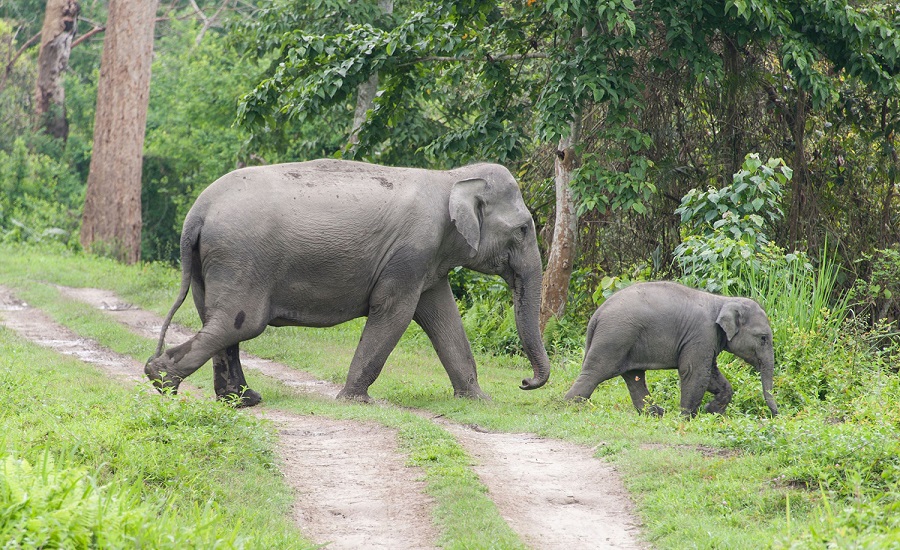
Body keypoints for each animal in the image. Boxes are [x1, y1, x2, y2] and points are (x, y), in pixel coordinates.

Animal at [145, 158, 552, 406]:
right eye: (523, 229)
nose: (524, 383)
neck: (451, 177)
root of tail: (197, 213)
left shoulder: (427, 261)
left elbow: (442, 317)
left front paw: (478, 401)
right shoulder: (410, 253)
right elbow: (395, 314)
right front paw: (357, 401)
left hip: (213, 264)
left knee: (217, 322)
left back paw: (243, 400)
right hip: (241, 258)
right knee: (235, 324)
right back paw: (161, 380)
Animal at [565, 281, 778, 417]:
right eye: (763, 338)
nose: (776, 415)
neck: (723, 301)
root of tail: (597, 315)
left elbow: (711, 373)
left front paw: (711, 412)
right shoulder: (701, 334)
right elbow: (695, 372)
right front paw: (687, 418)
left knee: (634, 377)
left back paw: (656, 413)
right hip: (614, 337)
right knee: (595, 373)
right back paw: (570, 407)